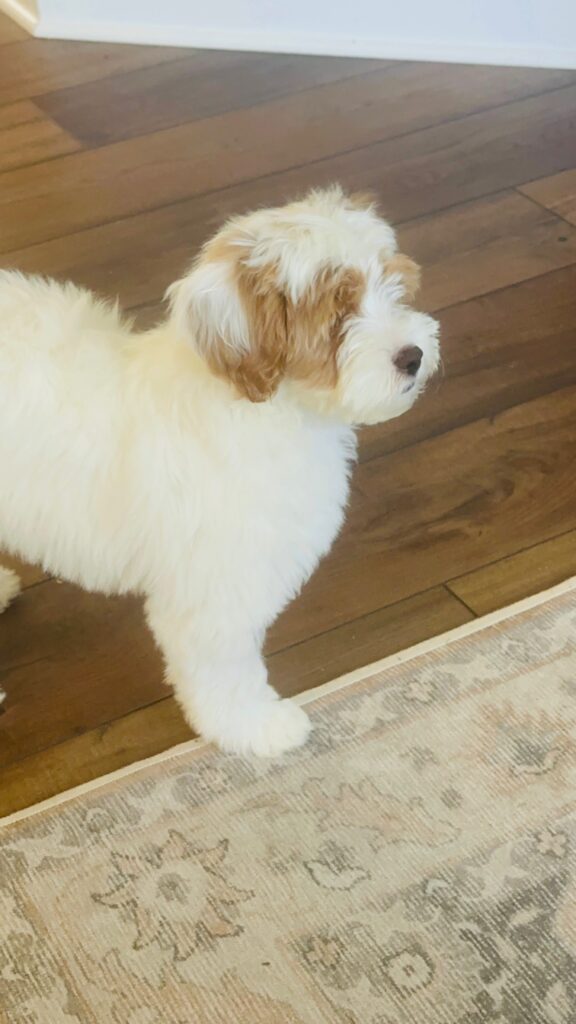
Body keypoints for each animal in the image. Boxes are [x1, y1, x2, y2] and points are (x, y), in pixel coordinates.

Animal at [0, 187, 439, 757]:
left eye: (393, 287)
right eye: (337, 314)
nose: (413, 356)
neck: (270, 409)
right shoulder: (217, 590)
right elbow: (225, 671)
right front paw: (256, 727)